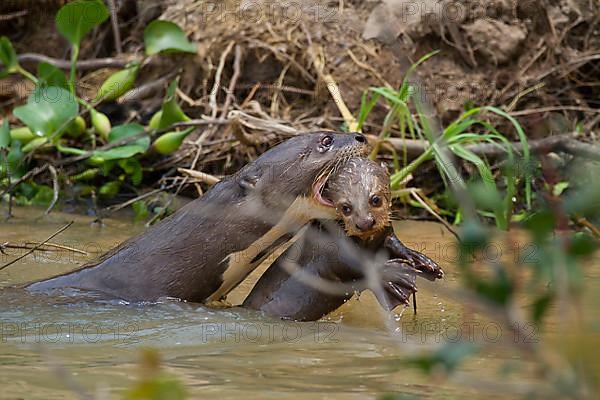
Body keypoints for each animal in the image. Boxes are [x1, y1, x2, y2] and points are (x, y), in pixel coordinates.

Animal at [244, 158, 446, 320]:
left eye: (375, 199)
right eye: (345, 207)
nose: (365, 223)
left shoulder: (385, 234)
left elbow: (394, 244)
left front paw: (421, 260)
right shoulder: (333, 250)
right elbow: (351, 264)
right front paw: (394, 275)